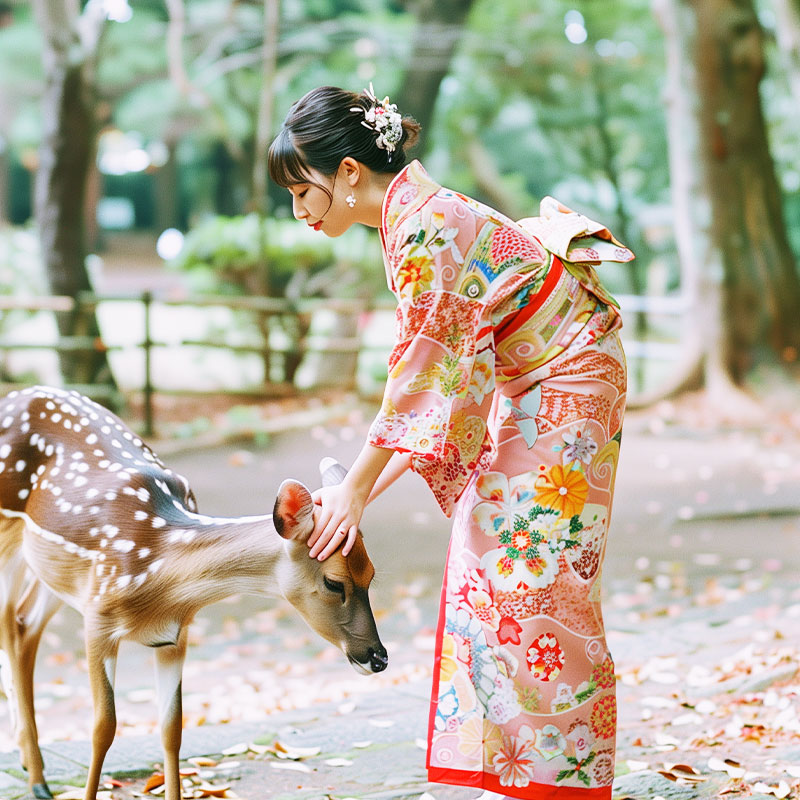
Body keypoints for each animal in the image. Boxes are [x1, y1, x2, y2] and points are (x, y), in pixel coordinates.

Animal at [0, 384, 388, 796]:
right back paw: (36, 779)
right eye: (333, 582)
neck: (158, 566)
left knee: (25, 625)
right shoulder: (98, 619)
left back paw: (32, 768)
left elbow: (172, 729)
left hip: (53, 574)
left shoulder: (173, 635)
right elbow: (103, 727)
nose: (378, 658)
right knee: (8, 624)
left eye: (371, 574)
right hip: (9, 532)